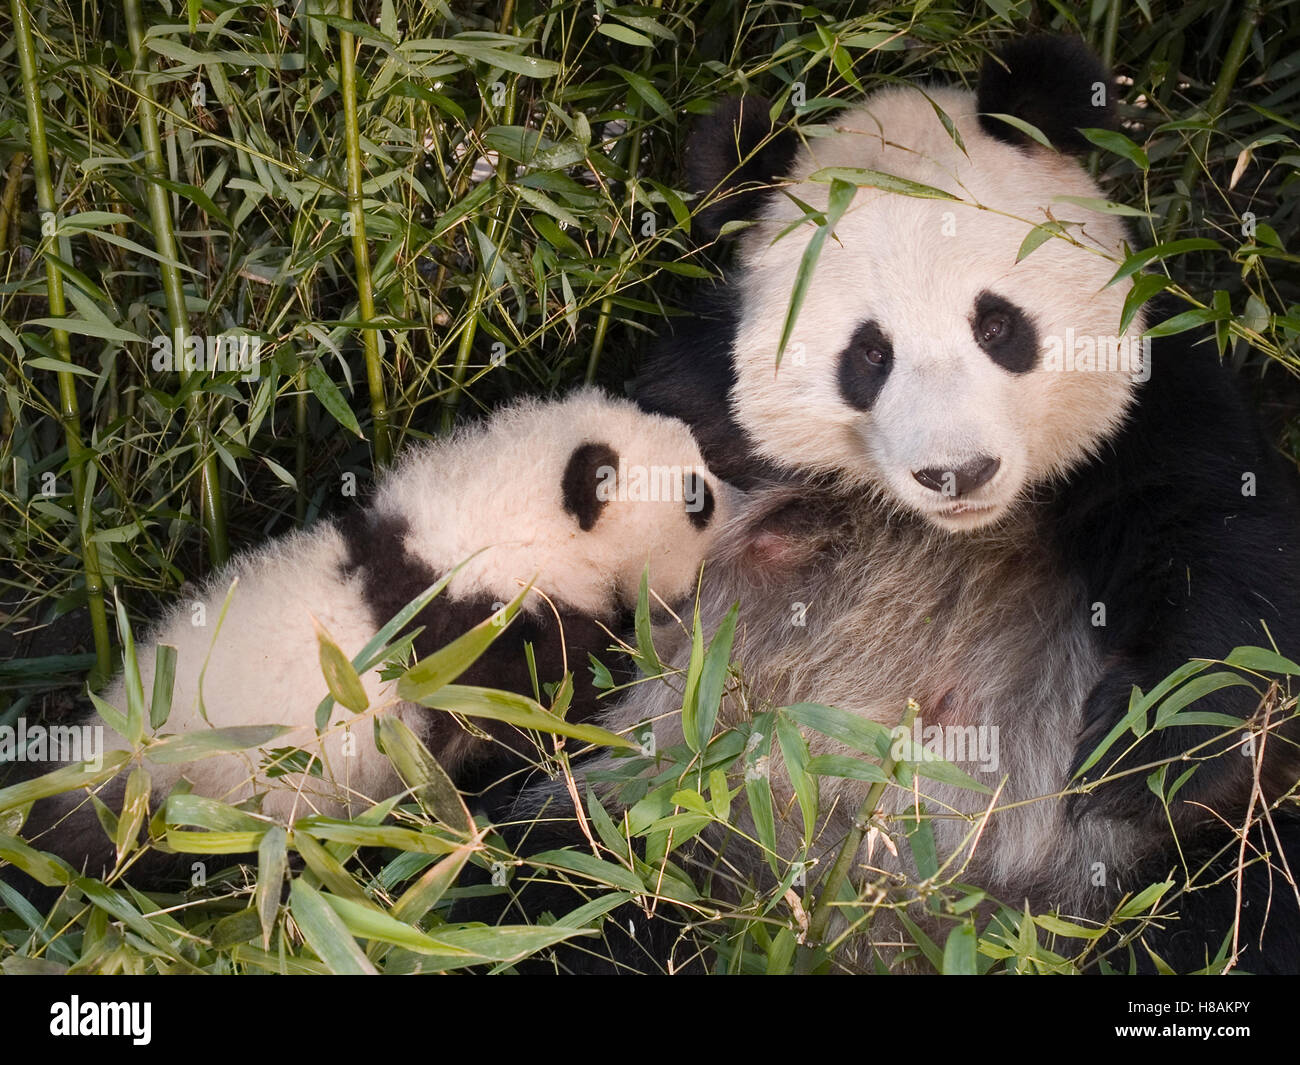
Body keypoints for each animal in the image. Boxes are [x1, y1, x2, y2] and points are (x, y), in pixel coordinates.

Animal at [489, 37, 1300, 974]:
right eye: (869, 353)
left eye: (998, 325)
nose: (959, 471)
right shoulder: (698, 415)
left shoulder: (1156, 402)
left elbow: (1222, 562)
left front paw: (1139, 750)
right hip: (648, 819)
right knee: (547, 893)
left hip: (1150, 875)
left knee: (1241, 906)